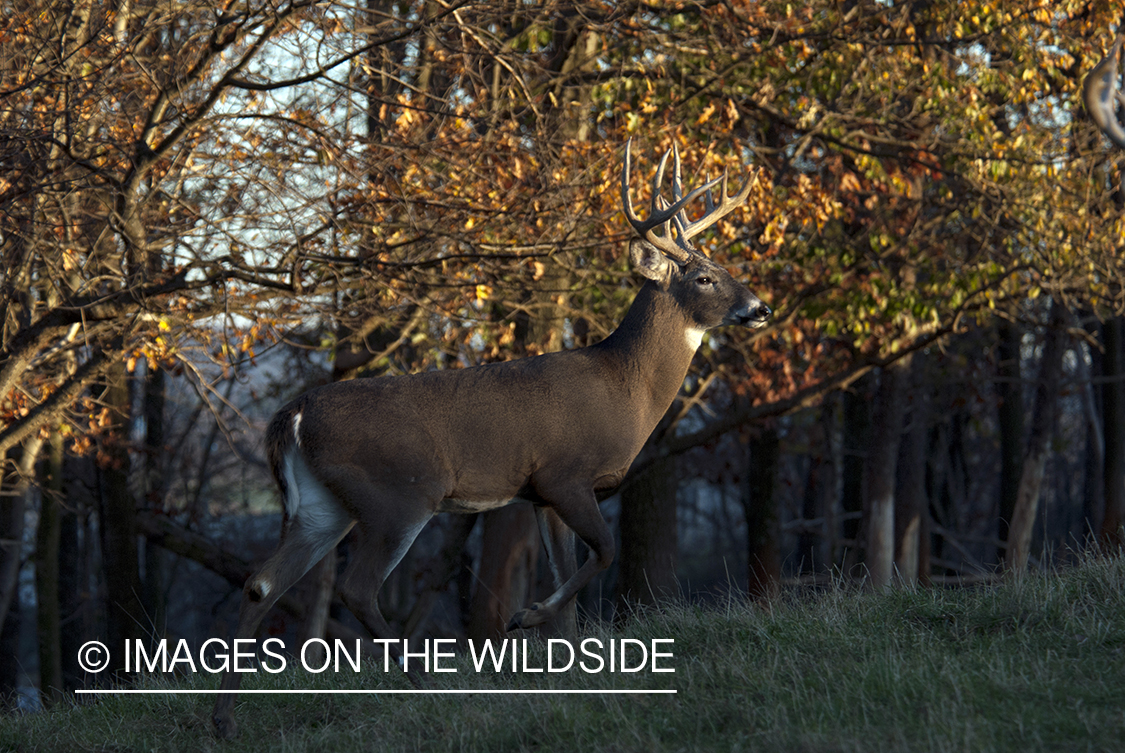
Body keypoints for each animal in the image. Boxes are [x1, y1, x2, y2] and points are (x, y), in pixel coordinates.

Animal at [211, 139, 769, 733]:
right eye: (704, 277)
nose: (761, 308)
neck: (627, 390)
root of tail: (291, 415)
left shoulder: (542, 495)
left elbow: (573, 579)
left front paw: (571, 663)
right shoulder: (565, 474)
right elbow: (606, 552)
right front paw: (525, 616)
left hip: (323, 506)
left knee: (262, 583)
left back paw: (225, 721)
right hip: (399, 493)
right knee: (357, 589)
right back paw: (427, 684)